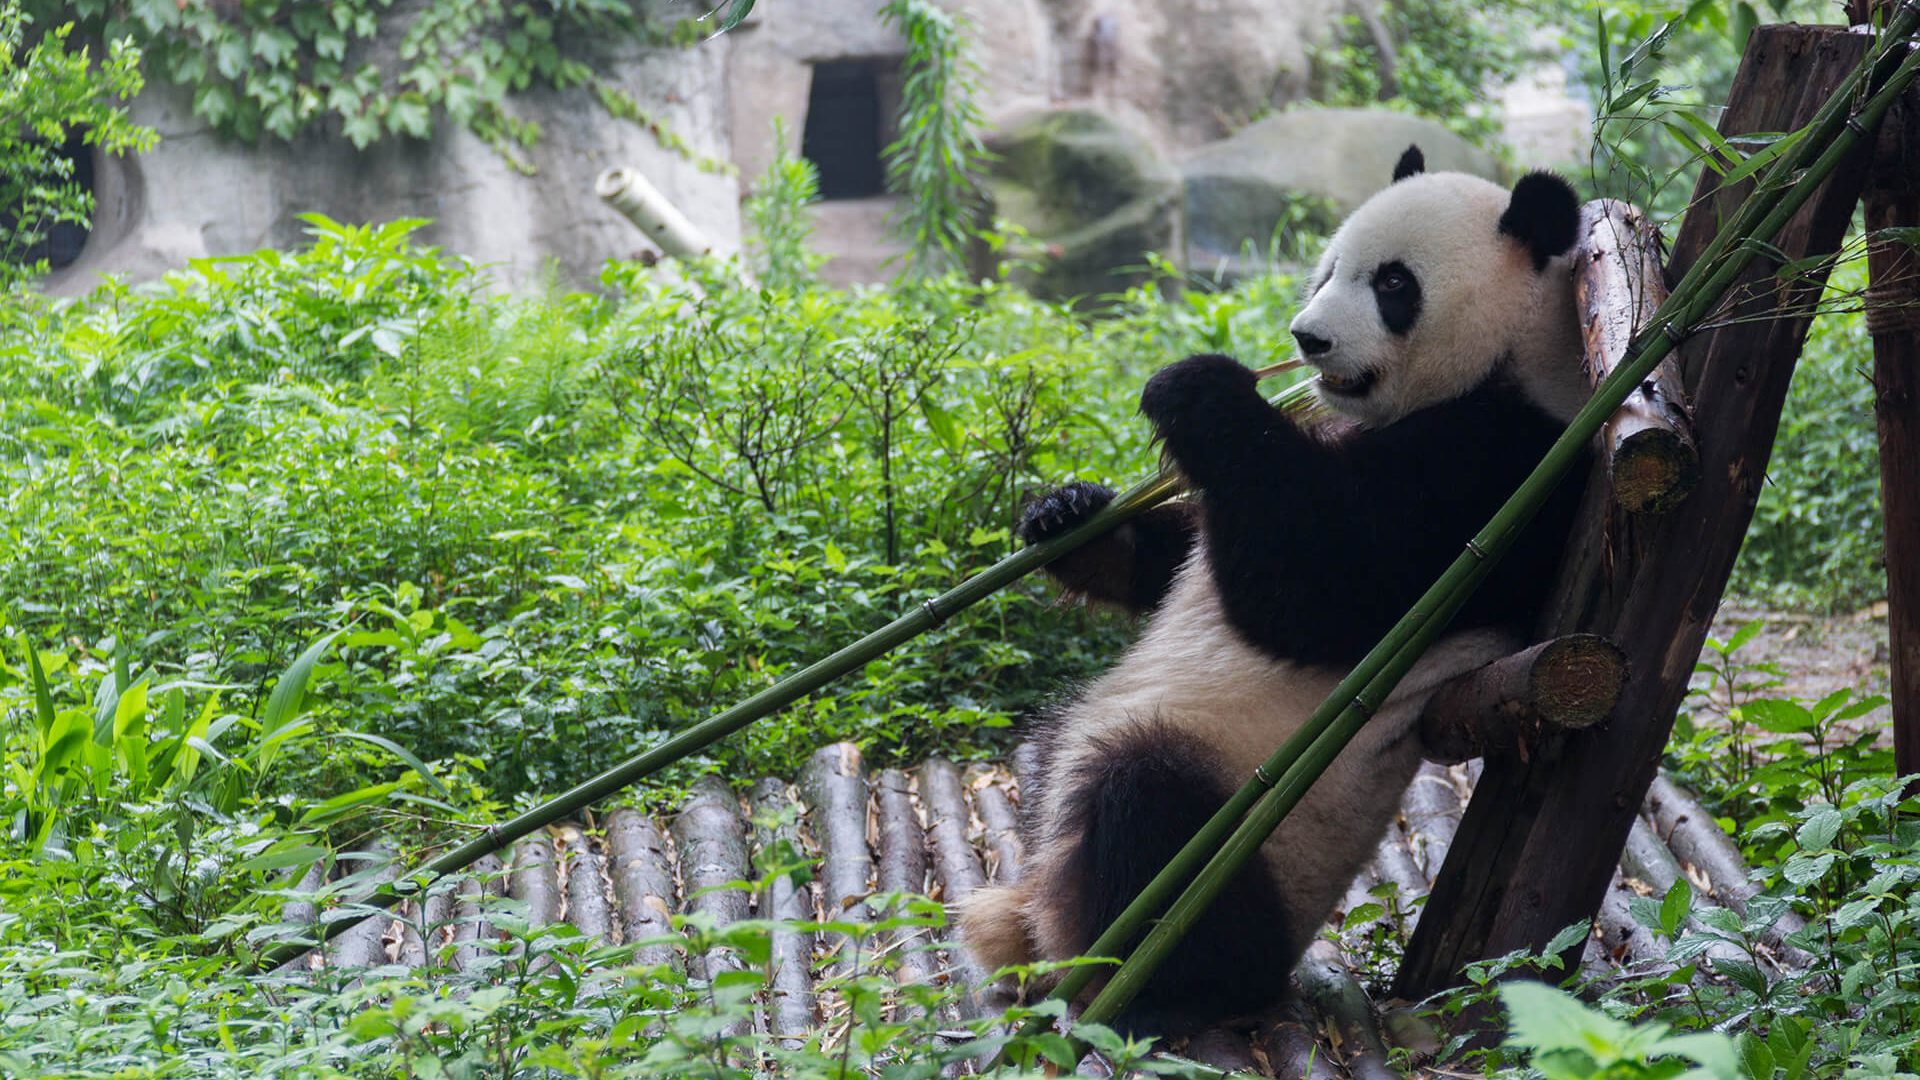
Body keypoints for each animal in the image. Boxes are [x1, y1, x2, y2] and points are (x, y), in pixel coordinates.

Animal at [958, 146, 1594, 1029]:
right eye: (1328, 267)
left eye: (1393, 283)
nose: (1307, 337)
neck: (1519, 355)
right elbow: (1184, 555)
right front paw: (1068, 515)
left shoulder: (1504, 474)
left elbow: (1310, 585)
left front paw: (1198, 387)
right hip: (1078, 746)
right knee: (1056, 753)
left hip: (1246, 828)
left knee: (1148, 810)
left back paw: (1149, 979)